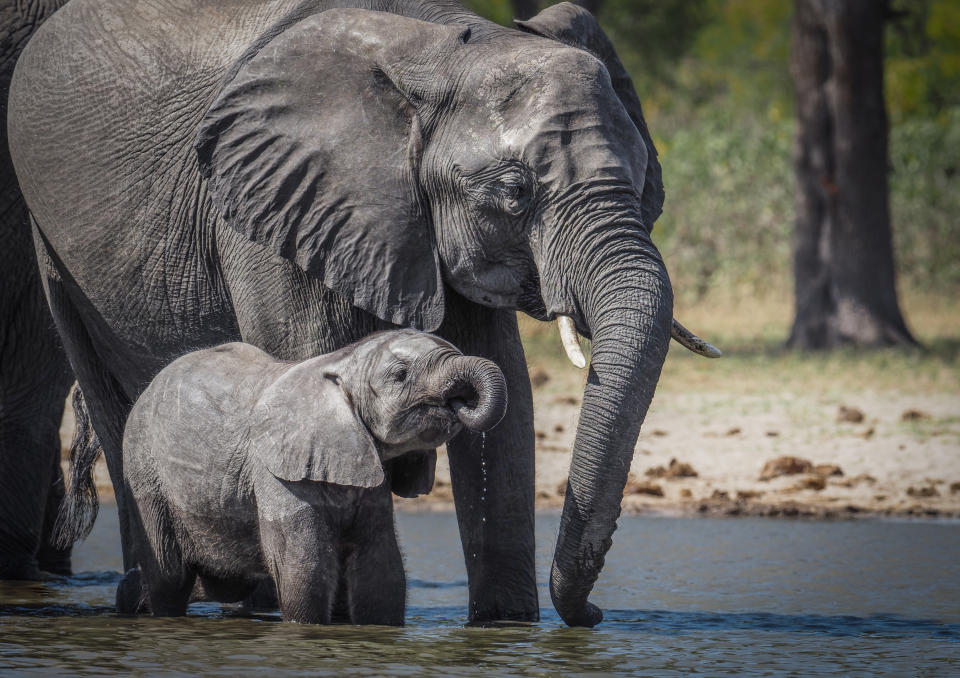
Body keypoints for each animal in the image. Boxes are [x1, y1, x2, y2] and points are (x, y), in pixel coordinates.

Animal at [116, 330, 506, 628]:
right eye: (400, 375)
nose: (460, 401)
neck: (340, 362)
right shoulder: (276, 471)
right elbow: (306, 570)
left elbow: (381, 569)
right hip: (142, 464)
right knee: (170, 575)